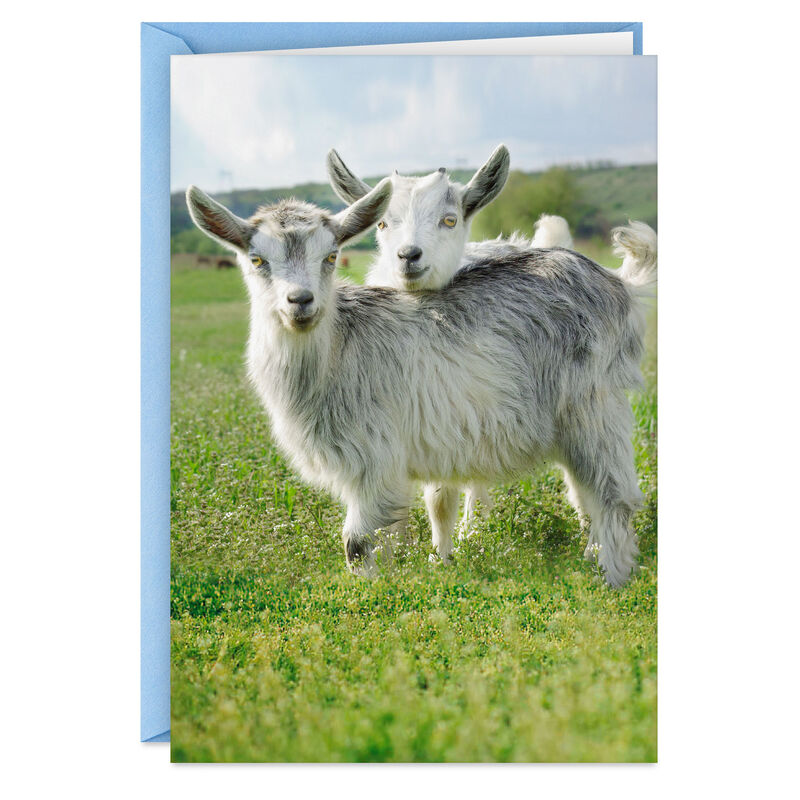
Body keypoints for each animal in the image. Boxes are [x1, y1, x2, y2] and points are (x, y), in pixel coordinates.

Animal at [186, 181, 654, 587]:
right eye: (256, 260)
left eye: (331, 256)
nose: (300, 301)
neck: (338, 349)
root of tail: (619, 285)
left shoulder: (375, 457)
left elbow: (357, 542)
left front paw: (367, 596)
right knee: (585, 492)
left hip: (593, 403)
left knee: (614, 494)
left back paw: (612, 577)